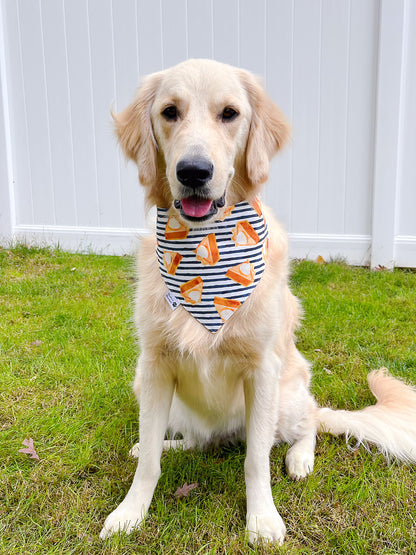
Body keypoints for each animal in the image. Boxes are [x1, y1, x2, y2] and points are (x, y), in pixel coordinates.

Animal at [100, 58, 416, 544]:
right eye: (170, 112)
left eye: (229, 114)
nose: (194, 171)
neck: (204, 248)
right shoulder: (153, 366)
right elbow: (150, 462)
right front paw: (130, 512)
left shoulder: (262, 370)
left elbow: (256, 461)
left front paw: (263, 518)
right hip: (153, 389)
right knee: (194, 440)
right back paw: (169, 445)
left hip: (286, 398)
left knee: (310, 422)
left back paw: (300, 458)